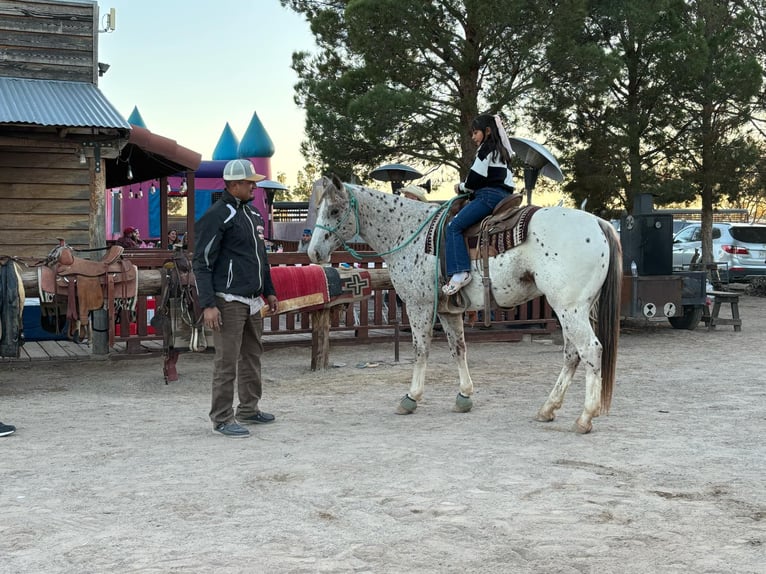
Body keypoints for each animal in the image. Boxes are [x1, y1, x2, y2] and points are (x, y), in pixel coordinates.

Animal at [307, 175, 622, 433]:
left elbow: (420, 350)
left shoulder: (419, 305)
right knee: (571, 353)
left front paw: (411, 397)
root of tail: (597, 222)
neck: (409, 231)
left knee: (590, 350)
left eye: (334, 211)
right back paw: (548, 408)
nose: (313, 252)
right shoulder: (448, 311)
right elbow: (458, 349)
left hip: (569, 308)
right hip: (576, 308)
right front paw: (464, 396)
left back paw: (584, 418)